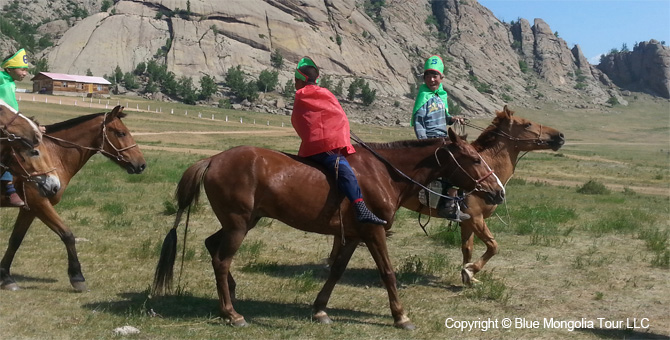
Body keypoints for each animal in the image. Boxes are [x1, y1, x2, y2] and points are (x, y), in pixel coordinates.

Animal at [0, 105, 146, 290]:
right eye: (121, 133)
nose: (141, 164)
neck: (54, 155)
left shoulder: (29, 209)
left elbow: (15, 240)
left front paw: (5, 276)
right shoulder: (40, 204)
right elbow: (67, 235)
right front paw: (77, 276)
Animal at [152, 128, 504, 330]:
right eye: (474, 159)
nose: (498, 191)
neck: (383, 174)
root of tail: (213, 159)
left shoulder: (352, 237)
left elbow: (335, 271)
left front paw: (320, 309)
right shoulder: (373, 232)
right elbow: (388, 273)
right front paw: (400, 316)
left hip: (240, 223)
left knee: (212, 246)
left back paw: (231, 295)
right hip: (238, 225)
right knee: (221, 260)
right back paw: (231, 313)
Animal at [328, 105, 564, 284]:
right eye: (527, 124)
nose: (560, 136)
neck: (487, 167)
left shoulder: (467, 221)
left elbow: (467, 248)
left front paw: (468, 275)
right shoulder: (476, 218)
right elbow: (493, 246)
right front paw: (471, 270)